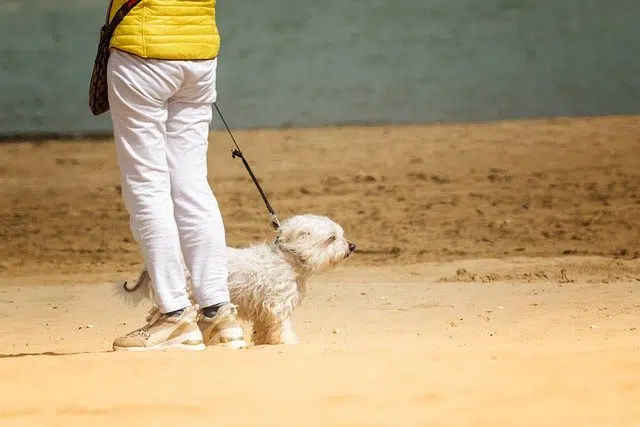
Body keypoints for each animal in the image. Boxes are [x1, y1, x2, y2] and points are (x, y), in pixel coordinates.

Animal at [115, 216, 356, 346]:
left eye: (340, 235)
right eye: (331, 238)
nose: (352, 246)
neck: (286, 259)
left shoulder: (264, 308)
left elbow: (264, 328)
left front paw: (264, 342)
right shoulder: (278, 305)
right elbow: (283, 326)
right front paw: (288, 342)